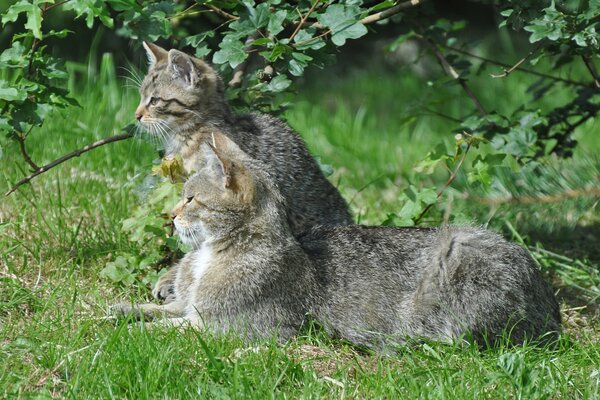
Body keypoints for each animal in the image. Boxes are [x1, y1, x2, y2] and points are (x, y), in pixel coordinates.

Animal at [113, 134, 564, 346]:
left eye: (190, 198)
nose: (171, 216)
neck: (209, 256)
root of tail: (553, 308)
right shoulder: (191, 308)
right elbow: (158, 310)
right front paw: (119, 310)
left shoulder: (227, 326)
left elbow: (166, 328)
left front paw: (131, 334)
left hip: (457, 253)